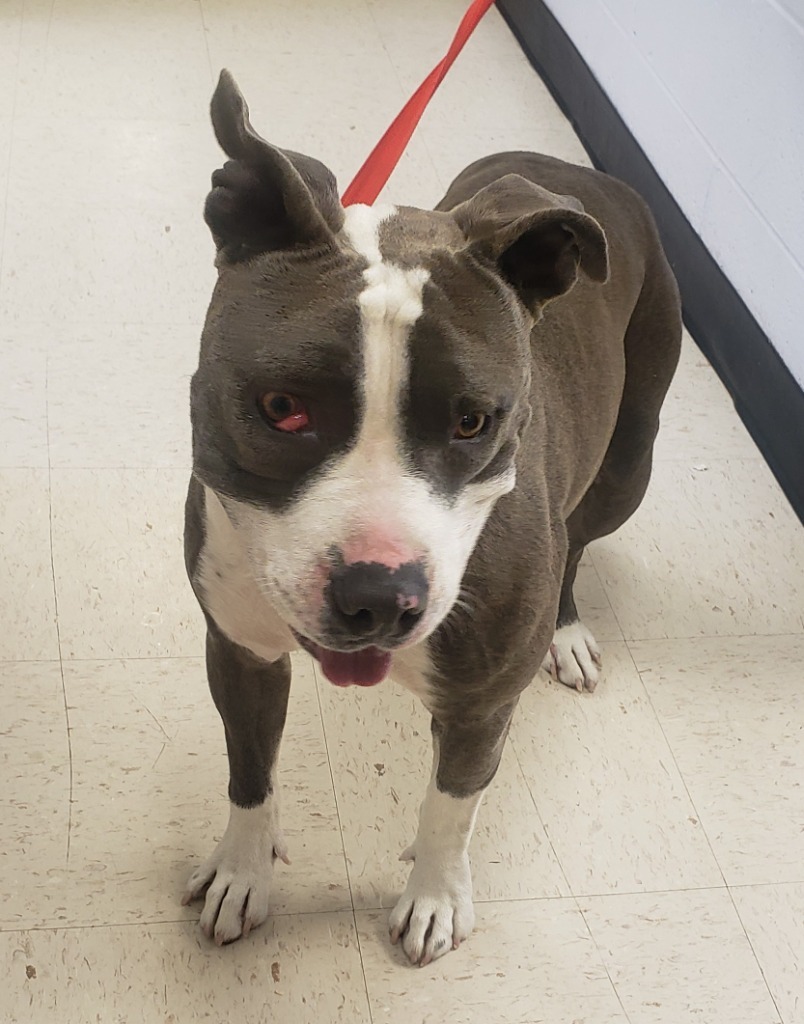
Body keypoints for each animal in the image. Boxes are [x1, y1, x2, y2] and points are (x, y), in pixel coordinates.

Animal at [180, 68, 675, 962]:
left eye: (473, 421)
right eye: (282, 408)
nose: (379, 596)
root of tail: (580, 172)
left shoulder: (482, 703)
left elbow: (453, 805)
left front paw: (436, 896)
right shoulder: (240, 651)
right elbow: (250, 775)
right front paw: (243, 870)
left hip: (630, 463)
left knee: (580, 540)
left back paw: (567, 631)